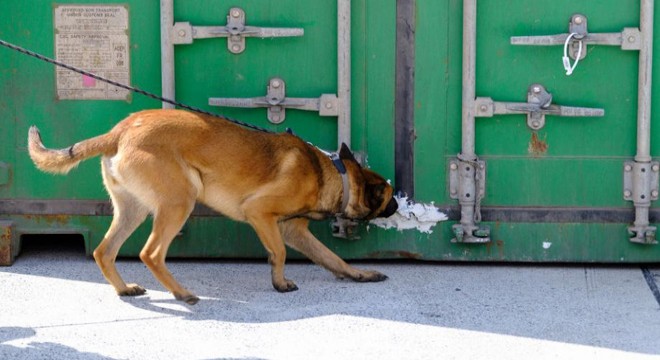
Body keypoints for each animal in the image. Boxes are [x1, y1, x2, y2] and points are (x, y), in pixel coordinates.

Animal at [27, 109, 398, 304]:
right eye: (388, 194)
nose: (398, 204)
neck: (333, 174)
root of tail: (119, 131)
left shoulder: (295, 230)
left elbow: (333, 258)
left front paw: (360, 274)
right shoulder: (259, 213)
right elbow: (278, 252)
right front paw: (279, 283)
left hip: (133, 210)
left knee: (104, 251)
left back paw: (124, 288)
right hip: (180, 201)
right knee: (151, 253)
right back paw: (181, 293)